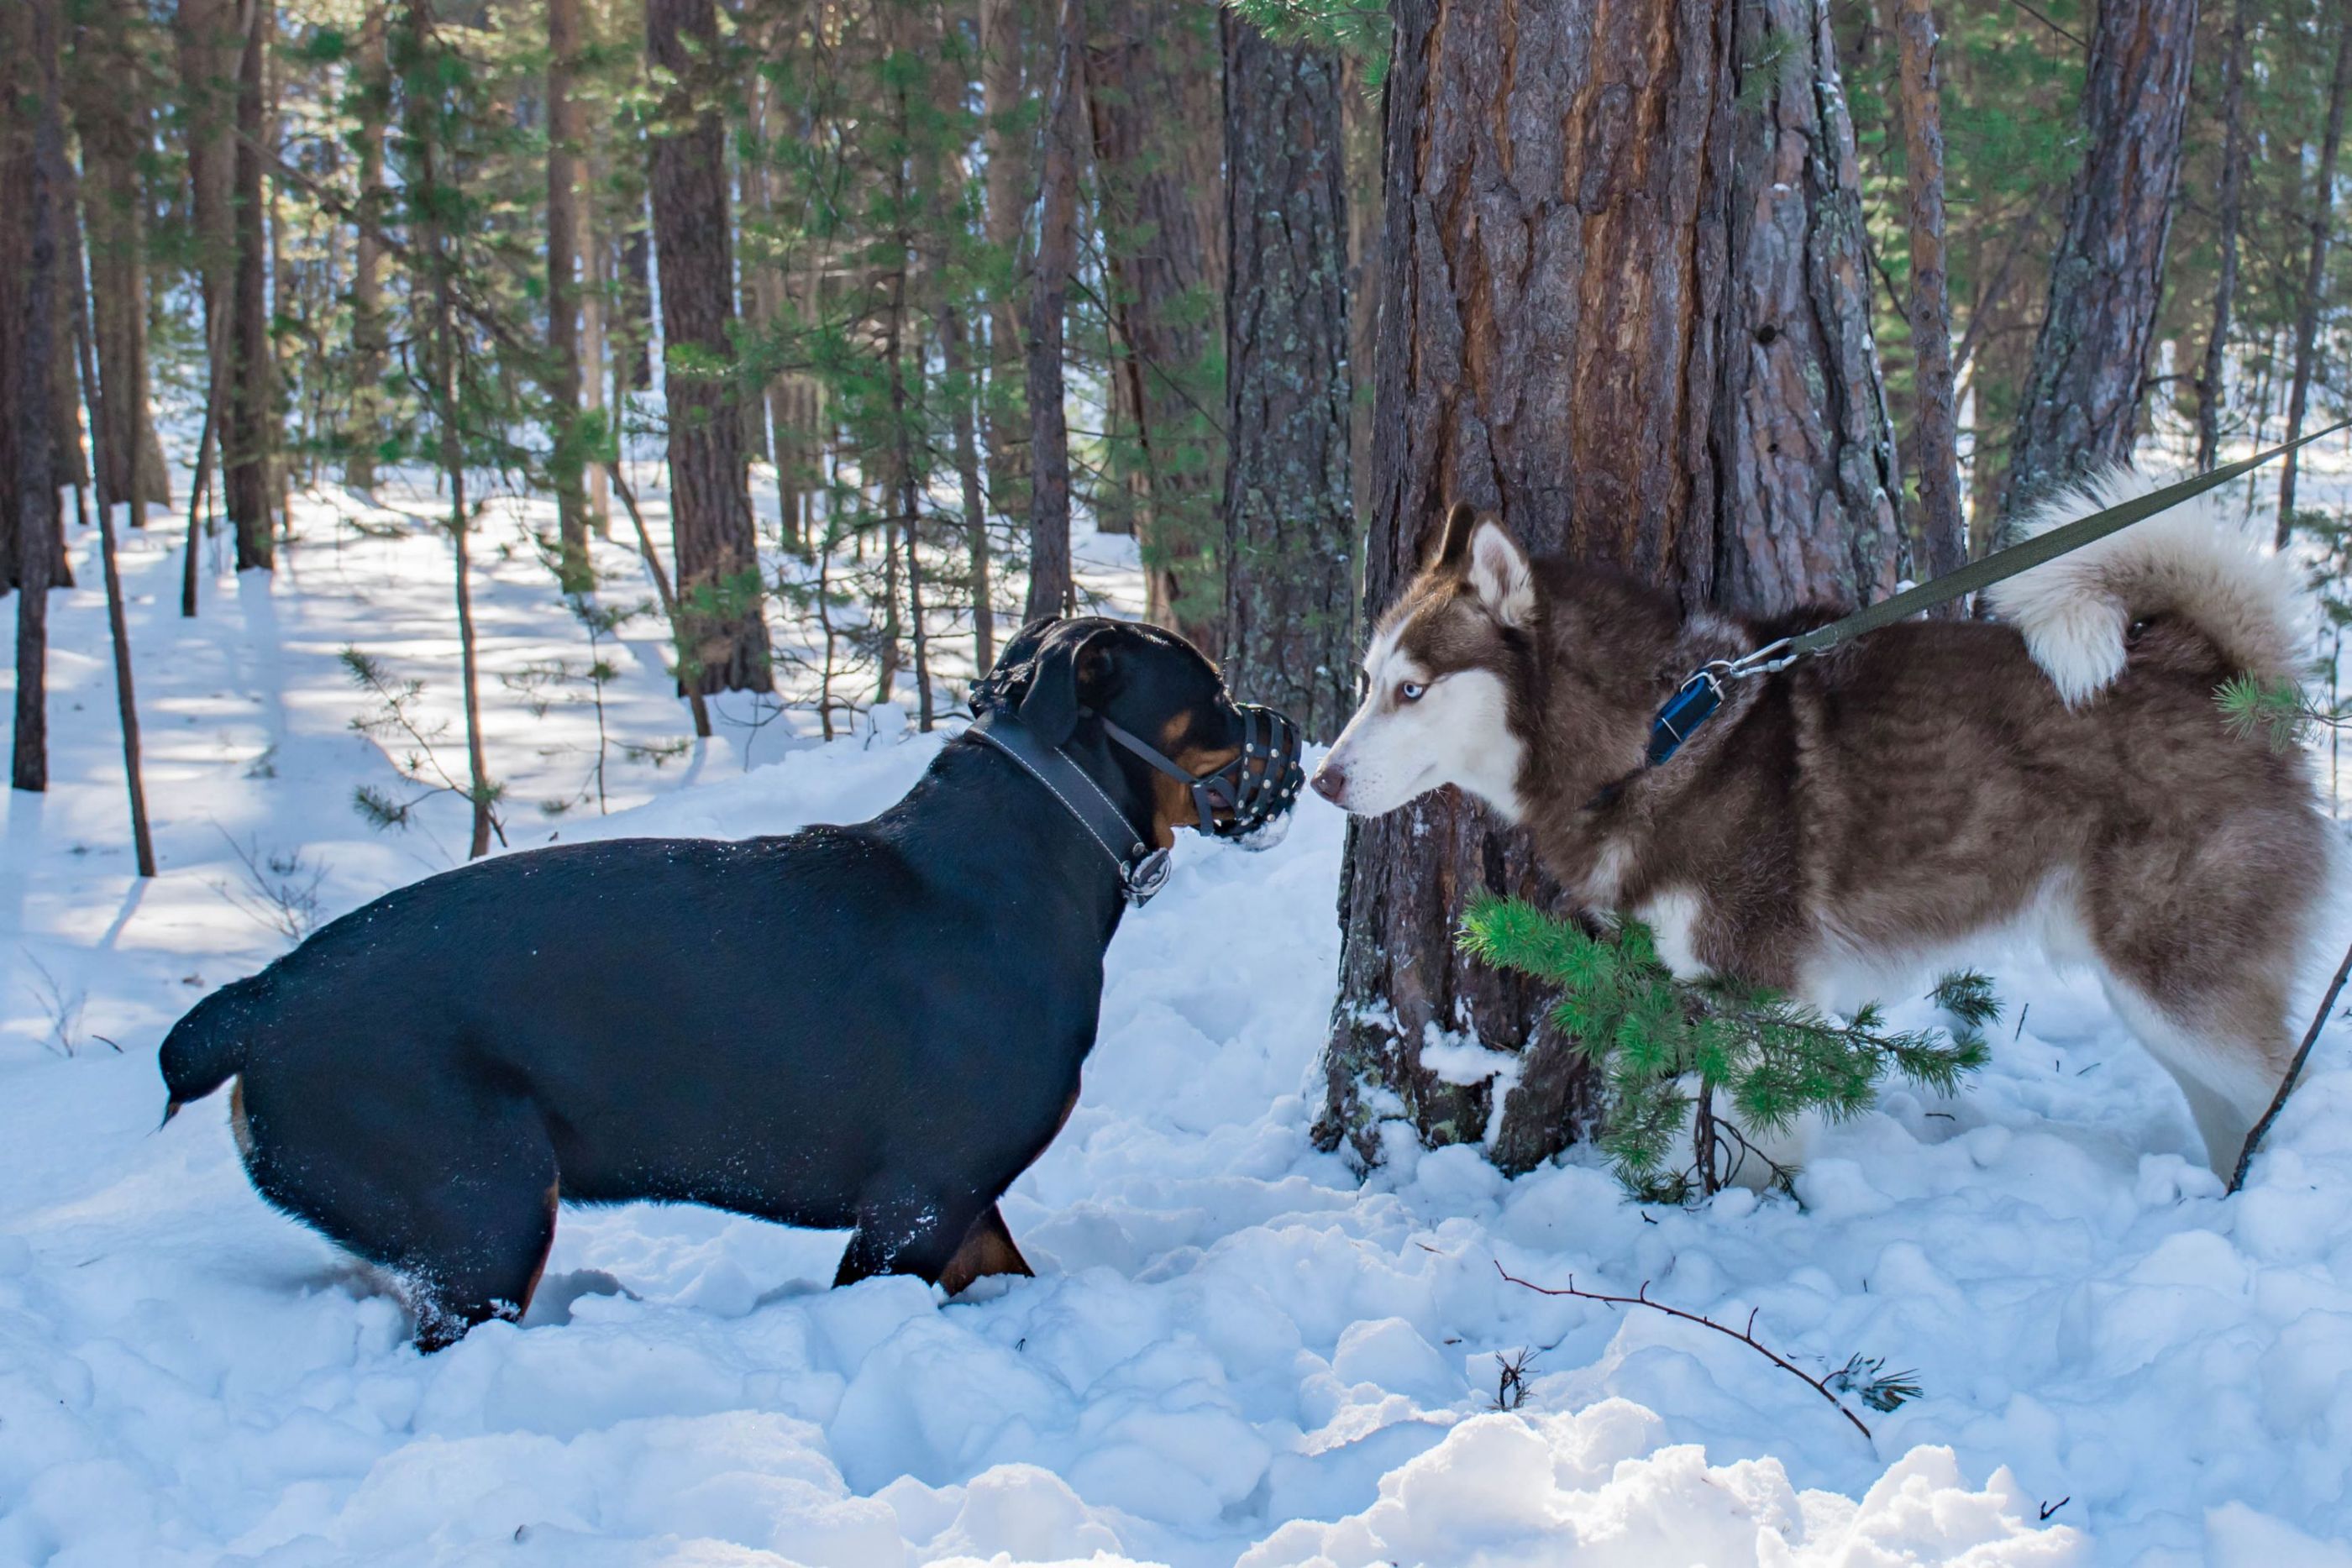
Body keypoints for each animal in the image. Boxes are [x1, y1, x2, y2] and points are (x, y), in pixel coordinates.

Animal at [160, 616, 1307, 1354]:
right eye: (1211, 695)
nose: (1291, 725)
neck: (1028, 860)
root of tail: (256, 1002)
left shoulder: (965, 1208)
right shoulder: (915, 1202)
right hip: (482, 1208)